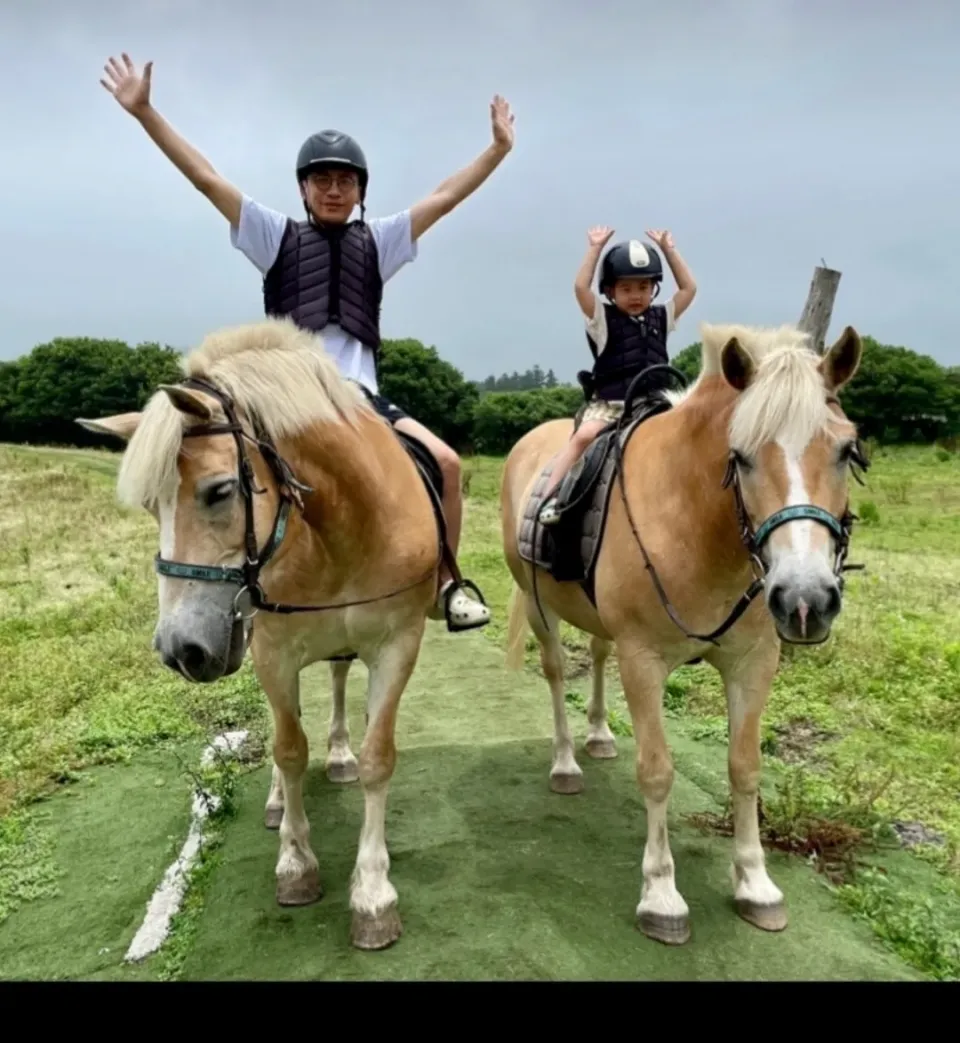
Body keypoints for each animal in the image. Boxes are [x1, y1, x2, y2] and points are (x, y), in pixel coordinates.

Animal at [75, 312, 450, 951]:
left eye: (220, 490)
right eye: (150, 507)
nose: (179, 649)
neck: (340, 526)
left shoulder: (398, 644)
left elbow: (378, 757)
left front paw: (374, 894)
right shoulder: (272, 651)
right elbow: (288, 748)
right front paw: (296, 865)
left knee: (339, 679)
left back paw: (340, 756)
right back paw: (279, 802)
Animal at [502, 319, 868, 947]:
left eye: (846, 450)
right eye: (739, 457)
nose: (805, 599)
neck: (700, 525)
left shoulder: (754, 661)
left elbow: (745, 768)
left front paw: (755, 883)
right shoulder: (643, 660)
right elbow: (657, 771)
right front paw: (661, 894)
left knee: (596, 653)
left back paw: (599, 735)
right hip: (538, 608)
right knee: (554, 673)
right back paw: (567, 762)